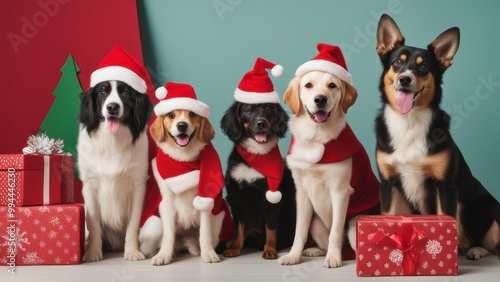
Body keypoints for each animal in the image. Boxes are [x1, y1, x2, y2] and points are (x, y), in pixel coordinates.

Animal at [78, 45, 154, 262]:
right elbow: (94, 224)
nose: (112, 107)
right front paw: (92, 252)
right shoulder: (90, 186)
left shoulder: (138, 185)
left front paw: (133, 251)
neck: (112, 140)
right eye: (103, 91)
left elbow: (133, 224)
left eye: (126, 91)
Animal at [220, 57, 296, 260]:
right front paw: (235, 248)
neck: (256, 156)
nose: (261, 123)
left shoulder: (273, 199)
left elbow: (271, 228)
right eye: (247, 110)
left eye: (269, 108)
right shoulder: (236, 198)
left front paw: (270, 249)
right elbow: (238, 228)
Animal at [376, 14, 500, 258]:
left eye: (423, 66)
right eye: (397, 62)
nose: (405, 79)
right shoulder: (388, 185)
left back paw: (476, 250)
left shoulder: (445, 187)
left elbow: (445, 221)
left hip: (490, 205)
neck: (409, 121)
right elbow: (389, 217)